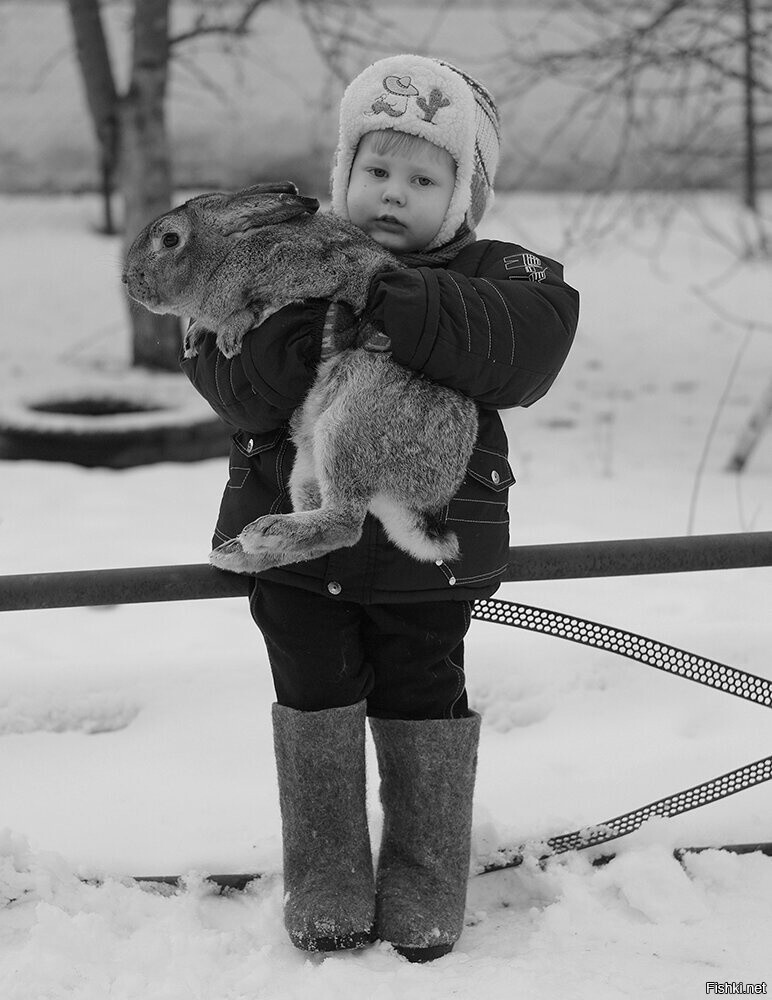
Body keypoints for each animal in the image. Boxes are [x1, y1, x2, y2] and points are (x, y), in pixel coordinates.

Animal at [122, 184, 476, 576]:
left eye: (170, 239)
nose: (128, 280)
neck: (224, 256)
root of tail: (419, 505)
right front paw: (195, 336)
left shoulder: (315, 271)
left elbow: (256, 307)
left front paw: (230, 333)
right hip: (307, 463)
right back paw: (241, 550)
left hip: (345, 430)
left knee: (345, 523)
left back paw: (265, 531)